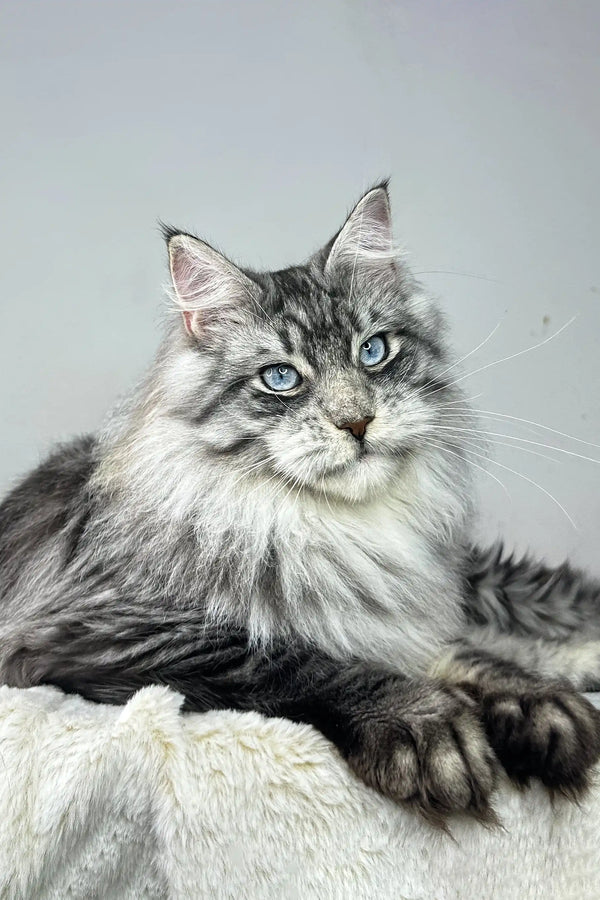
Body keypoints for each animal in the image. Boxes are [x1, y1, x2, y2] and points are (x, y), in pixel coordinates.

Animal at [1, 186, 600, 828]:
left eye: (373, 351)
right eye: (281, 377)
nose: (357, 421)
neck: (334, 531)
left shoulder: (400, 612)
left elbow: (466, 652)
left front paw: (533, 701)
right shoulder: (99, 632)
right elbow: (302, 661)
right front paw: (423, 720)